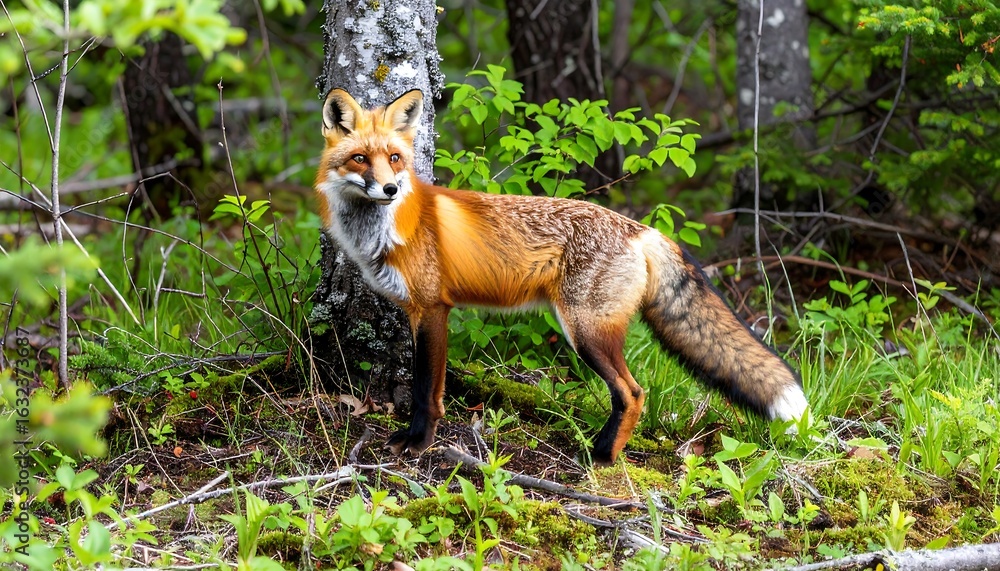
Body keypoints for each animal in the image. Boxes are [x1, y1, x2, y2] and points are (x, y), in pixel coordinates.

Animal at [314, 88, 808, 465]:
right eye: (360, 159)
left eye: (395, 158)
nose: (390, 189)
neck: (390, 228)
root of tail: (643, 229)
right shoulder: (423, 311)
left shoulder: (434, 308)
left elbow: (424, 391)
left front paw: (417, 443)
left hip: (585, 332)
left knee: (633, 392)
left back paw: (603, 456)